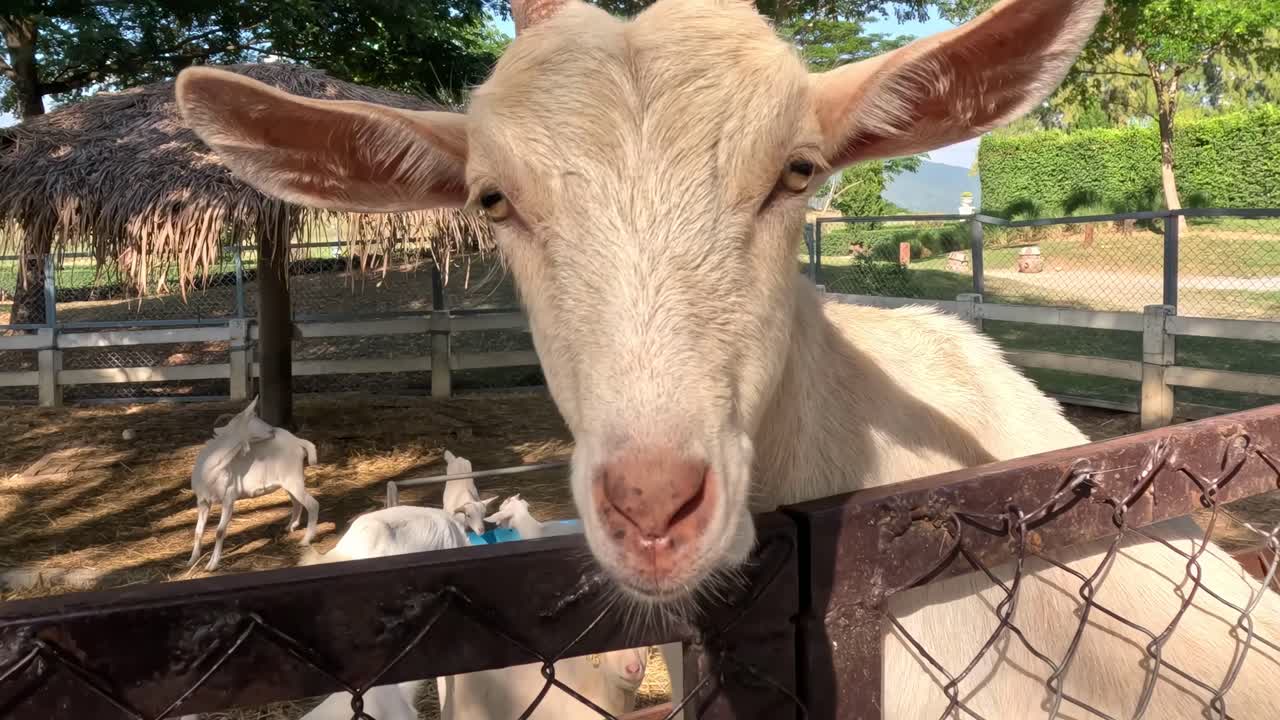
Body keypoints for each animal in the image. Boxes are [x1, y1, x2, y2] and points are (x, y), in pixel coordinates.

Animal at [189, 397, 318, 572]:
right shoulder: (202, 501)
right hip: (289, 481)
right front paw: (192, 561)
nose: (272, 430)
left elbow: (219, 531)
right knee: (297, 502)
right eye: (255, 417)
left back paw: (305, 540)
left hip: (293, 478)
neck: (212, 467)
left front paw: (212, 565)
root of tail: (298, 441)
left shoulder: (229, 497)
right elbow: (198, 531)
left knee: (312, 504)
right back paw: (290, 527)